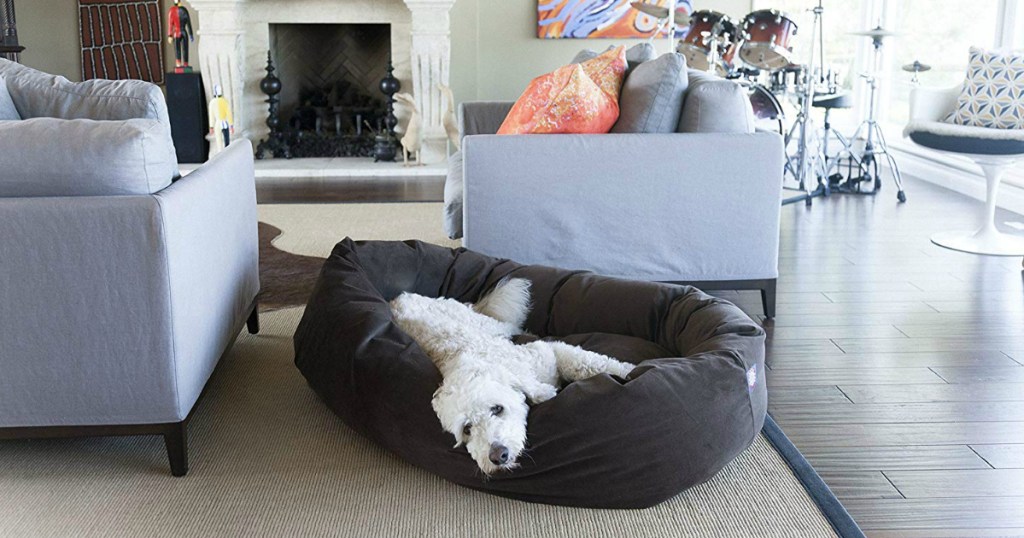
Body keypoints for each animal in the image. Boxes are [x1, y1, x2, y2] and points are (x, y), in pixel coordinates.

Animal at [389, 278, 634, 471]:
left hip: (487, 324)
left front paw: (628, 370)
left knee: (512, 327)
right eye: (467, 429)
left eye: (497, 409)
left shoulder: (548, 354)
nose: (498, 455)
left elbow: (588, 362)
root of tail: (398, 299)